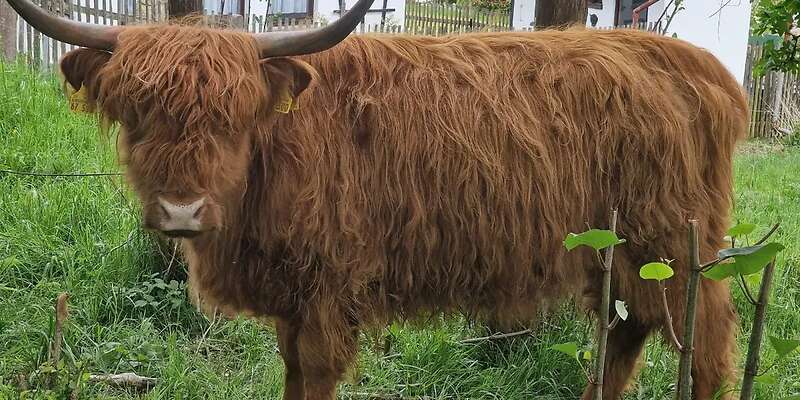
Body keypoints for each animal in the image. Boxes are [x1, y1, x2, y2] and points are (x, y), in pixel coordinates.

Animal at [6, 0, 748, 397]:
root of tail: (688, 62)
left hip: (675, 244)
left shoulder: (330, 288)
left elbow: (315, 375)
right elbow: (290, 373)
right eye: (137, 114)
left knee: (706, 343)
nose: (181, 212)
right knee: (625, 333)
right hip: (618, 252)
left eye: (232, 117)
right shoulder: (293, 297)